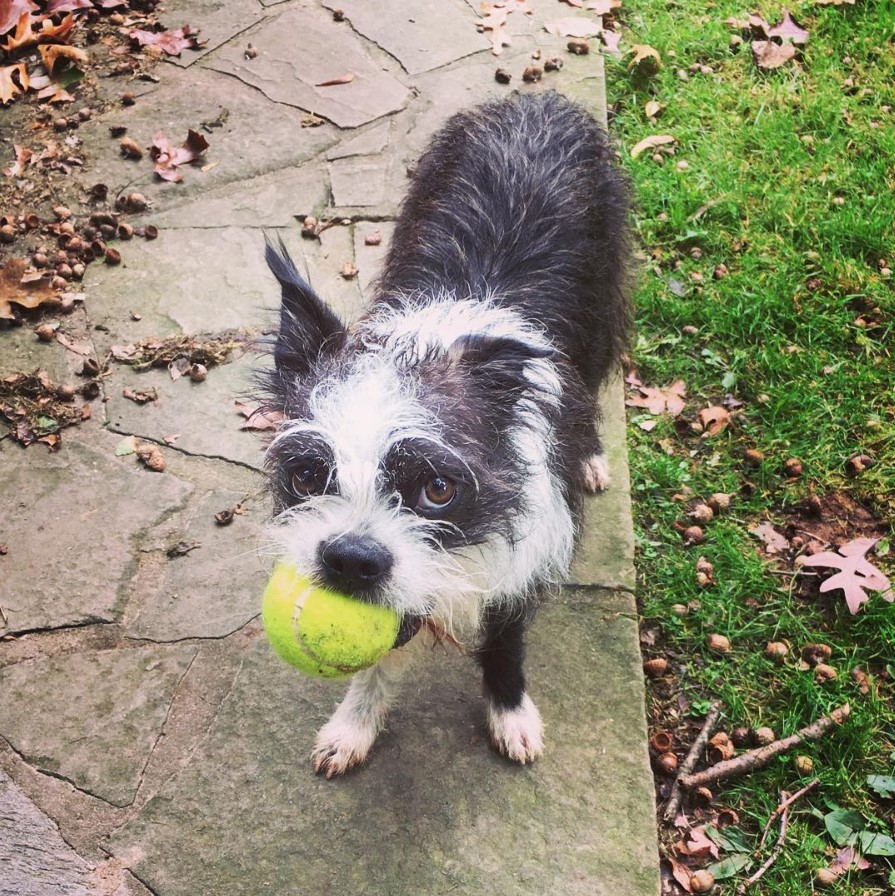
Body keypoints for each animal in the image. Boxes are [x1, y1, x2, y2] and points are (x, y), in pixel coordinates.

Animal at [260, 89, 632, 776]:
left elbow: (506, 640)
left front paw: (511, 713)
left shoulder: (531, 544)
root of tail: (539, 101)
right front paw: (354, 724)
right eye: (306, 475)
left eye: (438, 489)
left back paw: (591, 456)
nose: (351, 559)